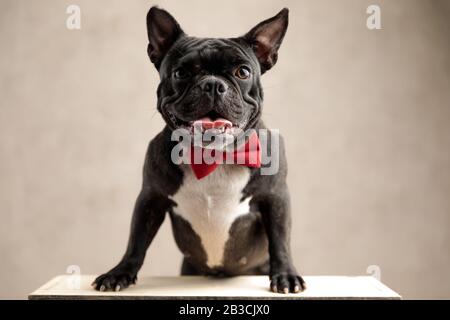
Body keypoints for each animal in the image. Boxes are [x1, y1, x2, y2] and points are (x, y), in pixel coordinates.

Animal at [94, 6, 306, 294]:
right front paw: (119, 273)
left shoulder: (276, 198)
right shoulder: (150, 198)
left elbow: (280, 239)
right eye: (181, 73)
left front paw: (285, 275)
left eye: (243, 72)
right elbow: (136, 240)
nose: (213, 84)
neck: (213, 156)